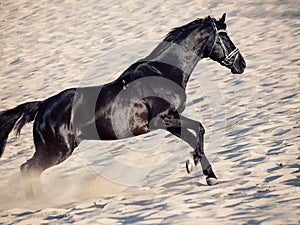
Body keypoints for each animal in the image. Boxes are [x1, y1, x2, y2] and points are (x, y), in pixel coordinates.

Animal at [0, 14, 246, 197]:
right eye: (226, 39)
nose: (241, 64)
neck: (163, 72)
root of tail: (42, 106)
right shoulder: (163, 118)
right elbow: (200, 128)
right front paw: (192, 164)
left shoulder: (169, 122)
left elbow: (194, 136)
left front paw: (208, 175)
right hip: (57, 150)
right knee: (28, 169)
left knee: (28, 170)